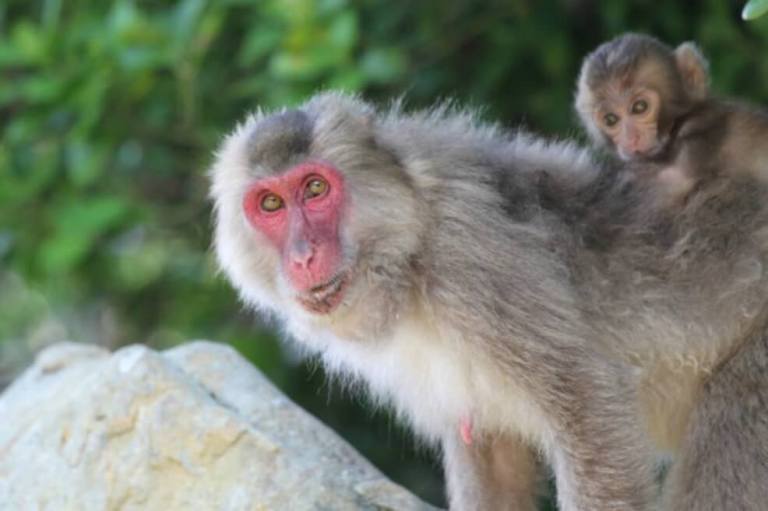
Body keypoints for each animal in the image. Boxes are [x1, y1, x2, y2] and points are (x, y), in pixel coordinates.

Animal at [209, 92, 768, 510]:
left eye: (315, 188)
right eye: (271, 204)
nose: (303, 255)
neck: (406, 256)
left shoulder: (475, 264)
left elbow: (590, 413)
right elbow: (490, 449)